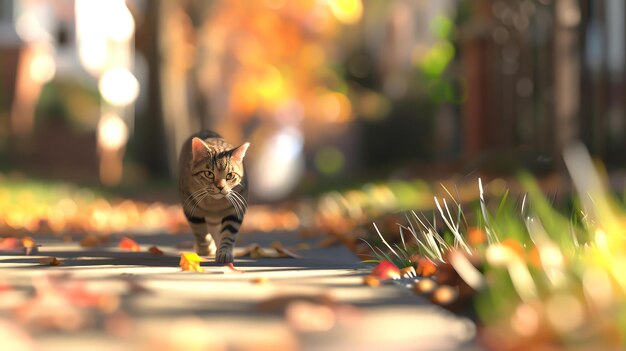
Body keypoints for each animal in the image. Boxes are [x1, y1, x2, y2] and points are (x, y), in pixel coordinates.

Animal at [177, 131, 247, 264]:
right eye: (209, 174)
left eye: (230, 175)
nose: (220, 187)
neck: (214, 204)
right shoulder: (191, 207)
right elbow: (200, 231)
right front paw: (206, 249)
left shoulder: (236, 208)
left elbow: (229, 233)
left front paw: (224, 252)